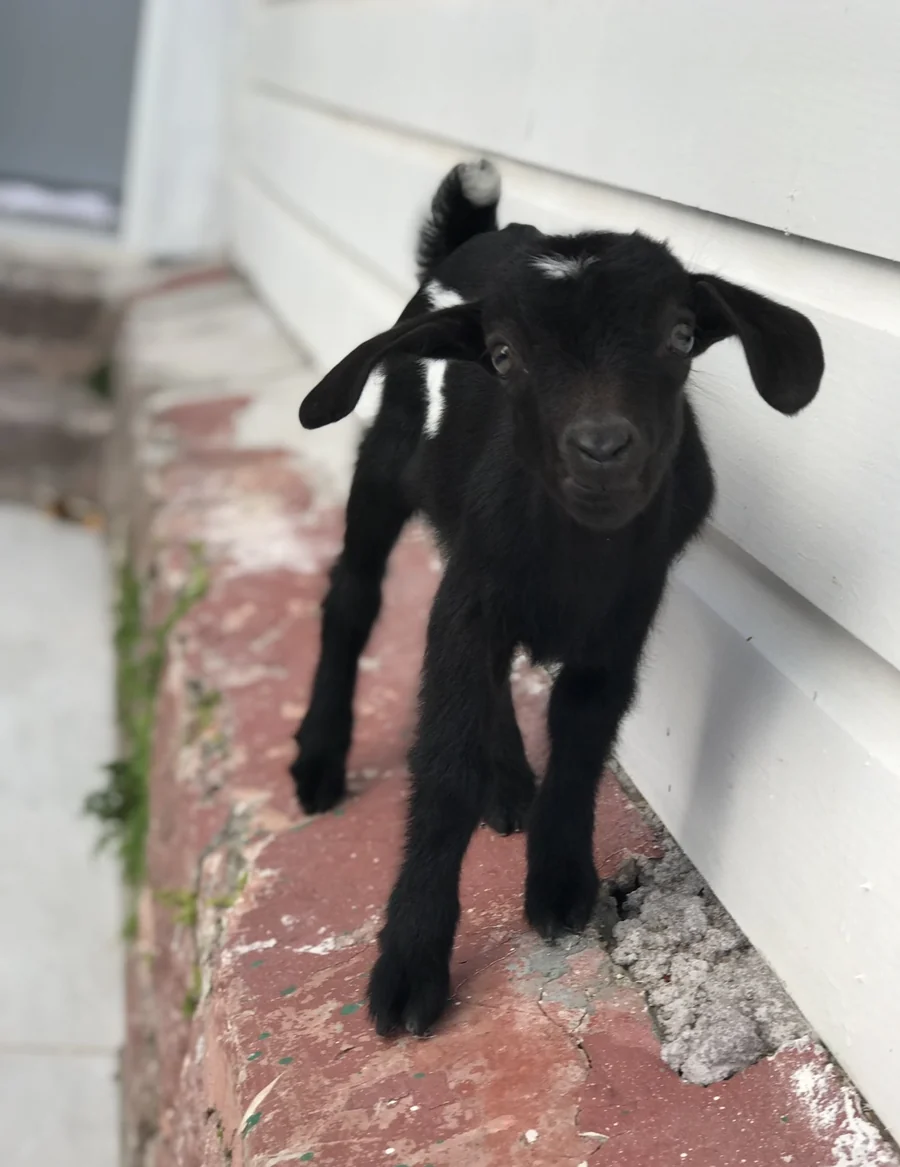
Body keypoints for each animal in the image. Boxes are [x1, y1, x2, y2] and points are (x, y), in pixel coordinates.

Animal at [291, 159, 824, 1036]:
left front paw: (561, 881)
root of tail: (476, 237)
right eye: (504, 355)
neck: (578, 552)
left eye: (681, 336)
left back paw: (508, 783)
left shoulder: (625, 613)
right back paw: (320, 758)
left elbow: (582, 733)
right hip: (389, 461)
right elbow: (442, 761)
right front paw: (409, 964)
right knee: (351, 597)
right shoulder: (473, 593)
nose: (602, 448)